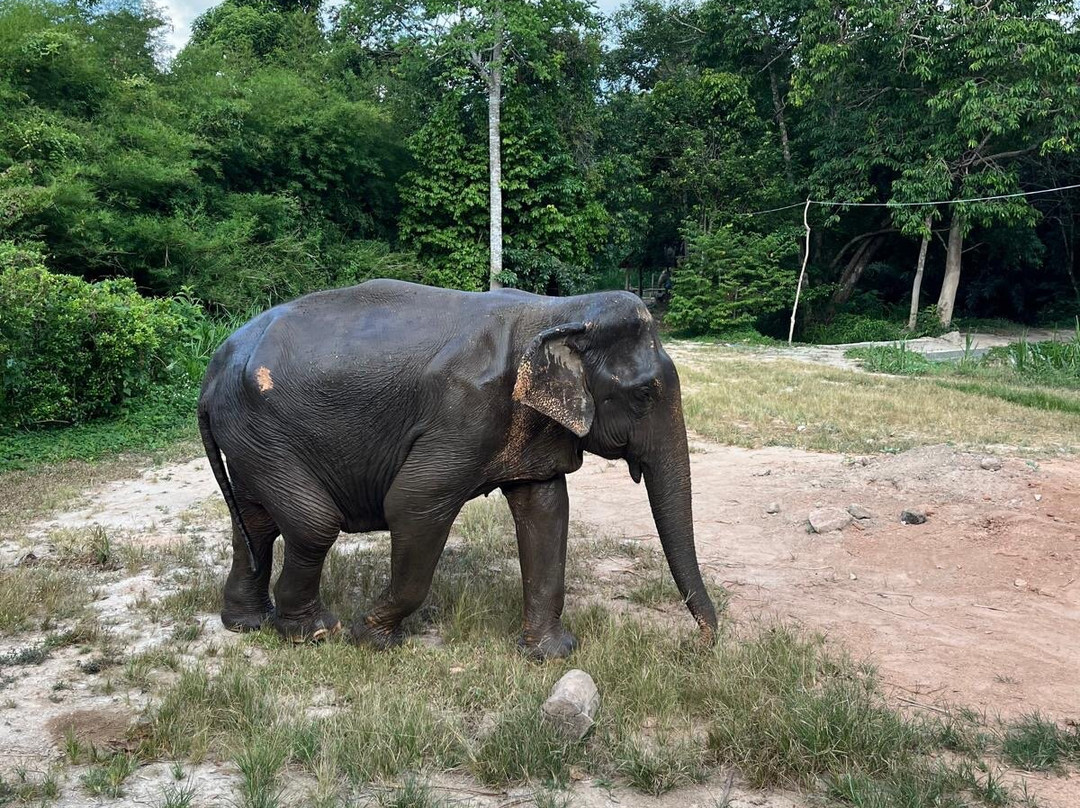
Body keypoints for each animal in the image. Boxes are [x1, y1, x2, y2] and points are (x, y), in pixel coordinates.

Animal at [197, 279, 717, 659]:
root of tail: (214, 366)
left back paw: (247, 624)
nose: (702, 645)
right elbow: (412, 505)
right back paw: (316, 633)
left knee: (257, 524)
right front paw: (372, 637)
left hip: (248, 438)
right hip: (260, 431)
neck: (556, 312)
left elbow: (546, 508)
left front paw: (551, 655)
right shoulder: (464, 413)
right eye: (645, 393)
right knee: (312, 524)